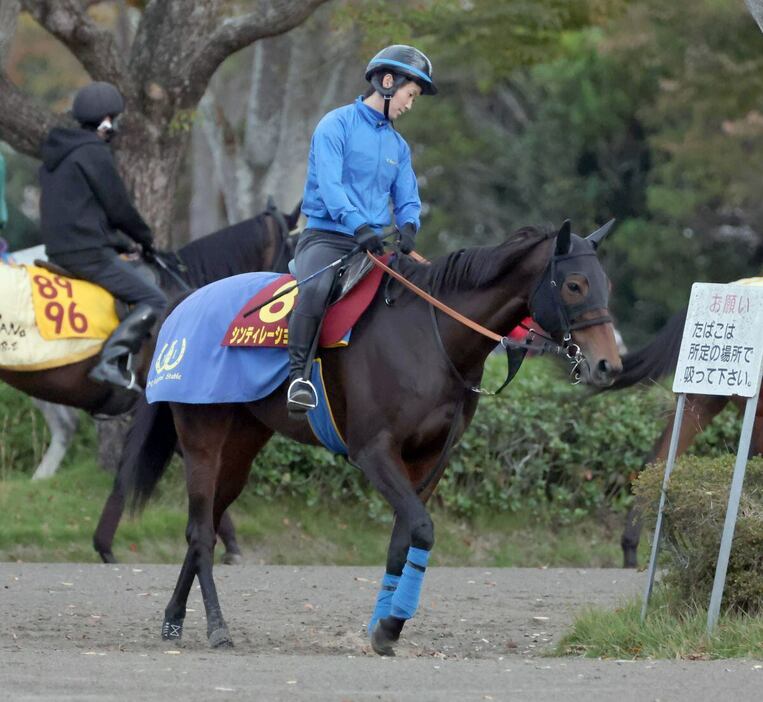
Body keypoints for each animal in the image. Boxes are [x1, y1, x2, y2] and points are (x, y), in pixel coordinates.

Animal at [124, 220, 620, 656]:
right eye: (575, 285)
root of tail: (182, 306)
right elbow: (422, 528)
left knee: (204, 526)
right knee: (201, 531)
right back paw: (216, 627)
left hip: (243, 445)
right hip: (202, 437)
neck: (429, 336)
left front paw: (382, 625)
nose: (607, 366)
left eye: (606, 284)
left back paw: (173, 618)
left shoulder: (428, 457)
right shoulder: (374, 452)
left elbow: (403, 539)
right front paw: (391, 624)